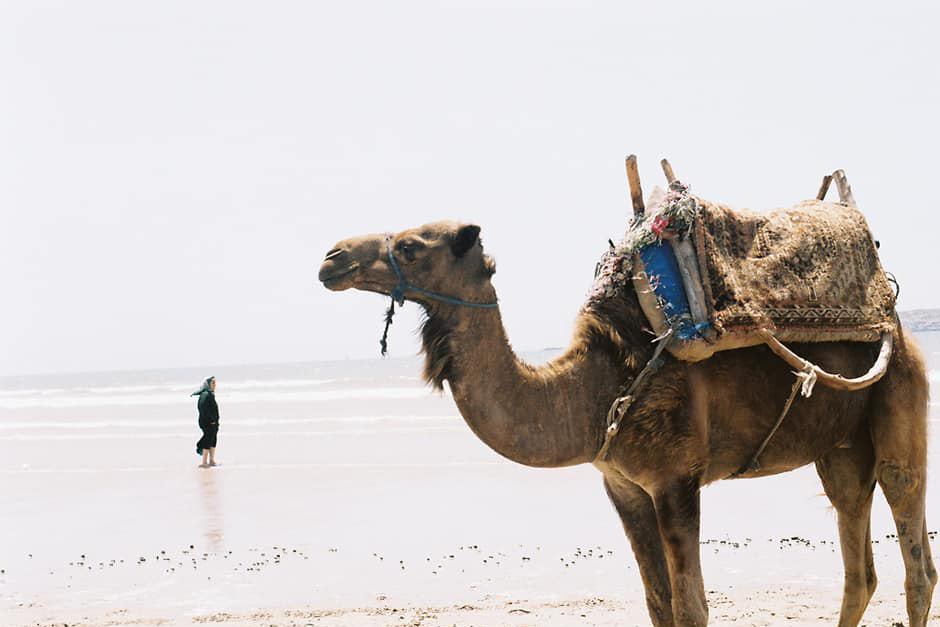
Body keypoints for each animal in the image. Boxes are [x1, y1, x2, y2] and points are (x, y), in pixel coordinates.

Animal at [318, 218, 932, 624]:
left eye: (411, 246)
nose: (332, 258)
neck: (593, 389)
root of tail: (897, 327)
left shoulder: (676, 479)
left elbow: (691, 607)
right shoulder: (624, 485)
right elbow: (659, 604)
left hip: (901, 403)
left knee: (915, 558)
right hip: (841, 449)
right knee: (858, 566)